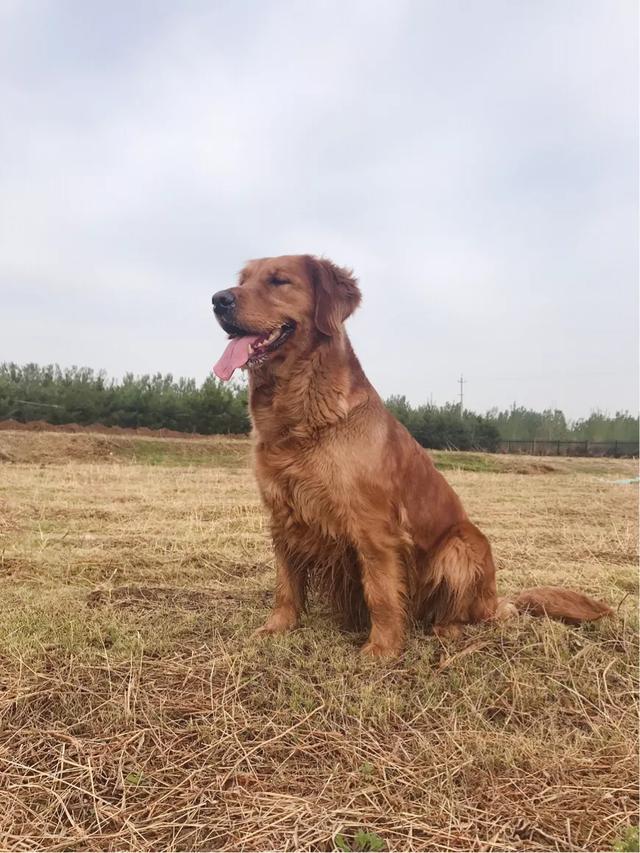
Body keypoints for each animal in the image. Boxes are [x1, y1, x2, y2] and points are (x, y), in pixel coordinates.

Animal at [212, 255, 612, 657]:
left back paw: (448, 630)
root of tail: (495, 601)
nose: (218, 300)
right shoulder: (282, 513)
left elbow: (381, 593)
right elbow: (286, 584)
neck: (300, 418)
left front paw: (382, 650)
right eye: (243, 280)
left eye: (279, 281)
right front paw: (277, 628)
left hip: (462, 545)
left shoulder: (373, 527)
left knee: (463, 613)